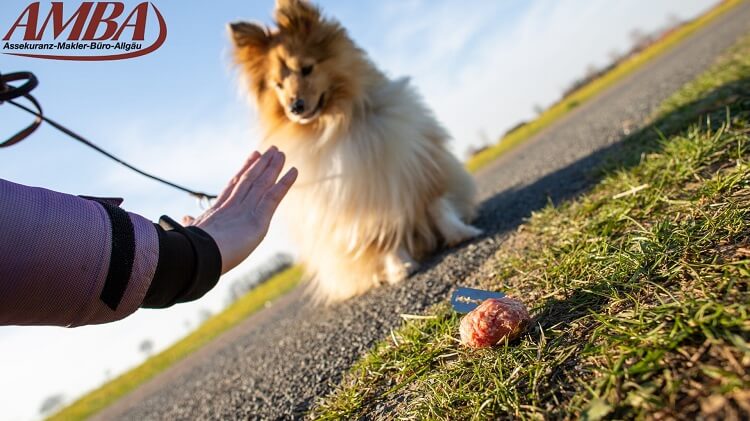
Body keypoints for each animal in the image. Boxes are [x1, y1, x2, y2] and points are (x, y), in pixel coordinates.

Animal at [229, 0, 482, 302]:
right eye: (278, 85)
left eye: (307, 68)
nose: (295, 107)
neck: (339, 121)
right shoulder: (356, 199)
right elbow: (378, 236)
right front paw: (399, 268)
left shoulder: (416, 159)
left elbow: (436, 203)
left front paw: (461, 233)